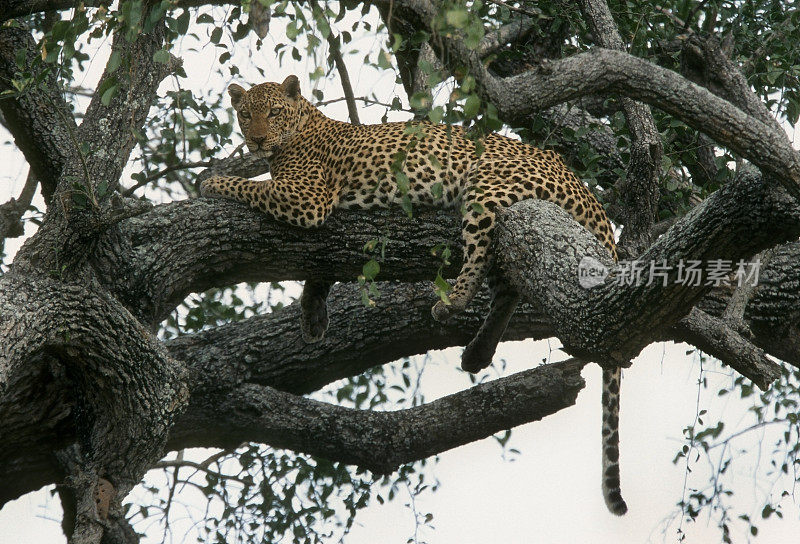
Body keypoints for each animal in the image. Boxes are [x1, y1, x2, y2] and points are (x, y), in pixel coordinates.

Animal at [198, 75, 624, 516]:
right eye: (245, 114)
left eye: (273, 113)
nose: (257, 140)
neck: (300, 128)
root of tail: (587, 192)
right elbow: (320, 267)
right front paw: (313, 316)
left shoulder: (305, 197)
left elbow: (249, 186)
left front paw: (210, 183)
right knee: (508, 284)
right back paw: (478, 351)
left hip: (487, 184)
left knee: (482, 252)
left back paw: (452, 303)